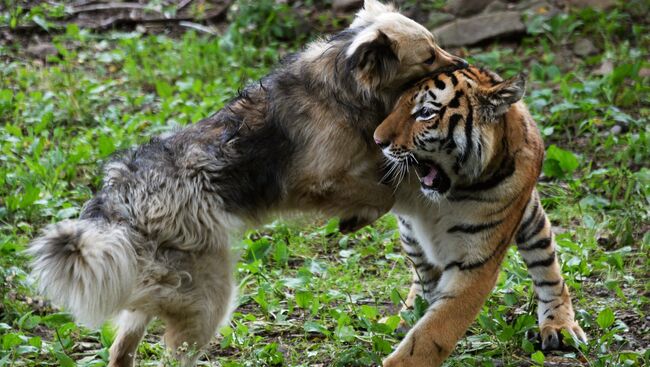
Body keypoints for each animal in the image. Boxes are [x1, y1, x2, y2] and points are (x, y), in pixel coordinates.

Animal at [29, 1, 466, 366]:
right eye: (429, 55)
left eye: (436, 45)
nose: (461, 61)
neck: (344, 82)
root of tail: (119, 204)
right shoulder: (315, 181)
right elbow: (382, 193)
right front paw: (356, 216)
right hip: (209, 296)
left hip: (159, 288)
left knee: (123, 347)